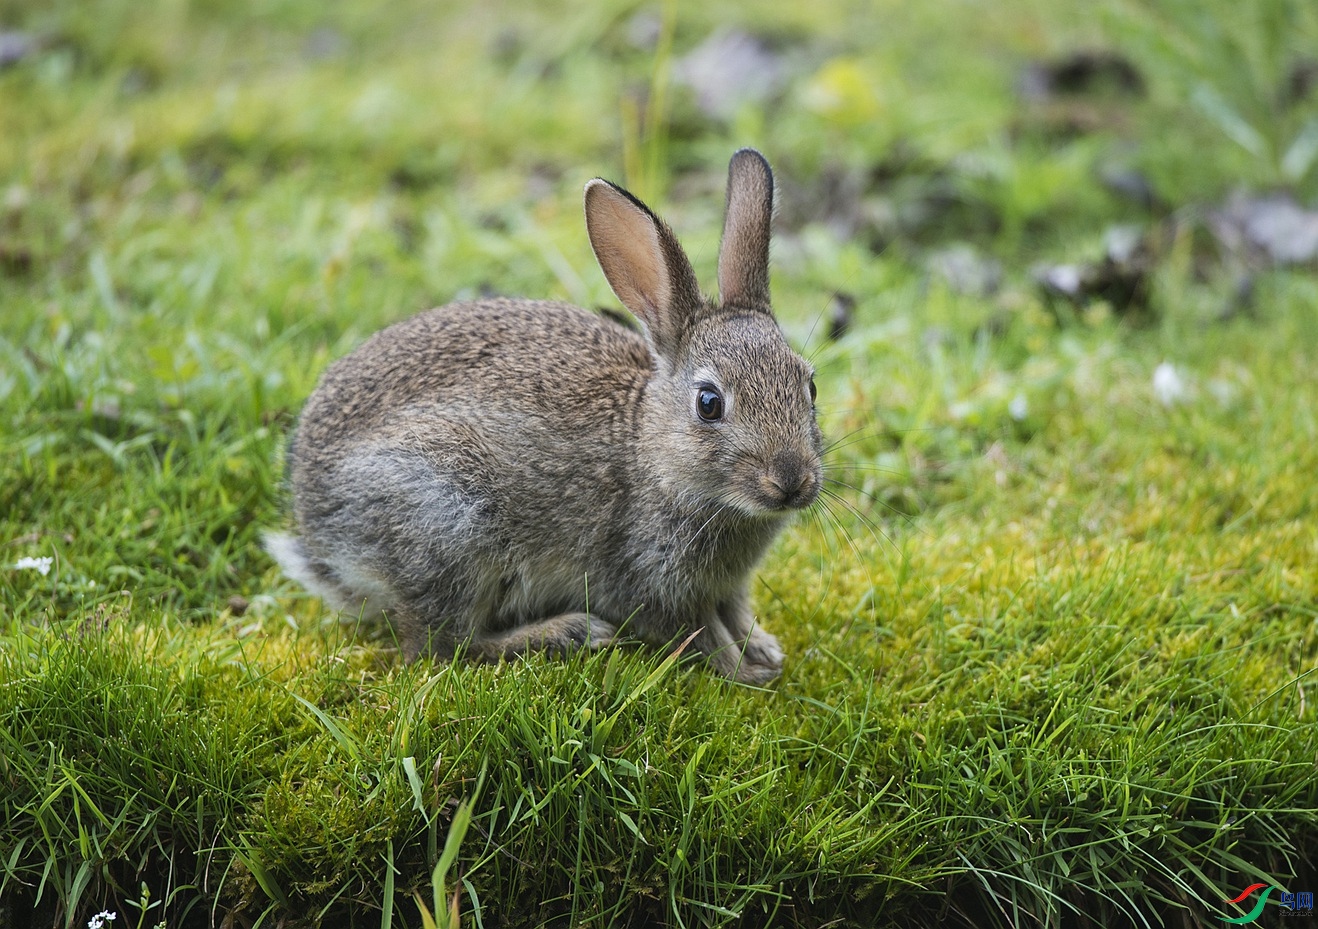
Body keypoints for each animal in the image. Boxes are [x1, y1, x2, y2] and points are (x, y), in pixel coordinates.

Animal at [264, 146, 822, 679]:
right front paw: (744, 672)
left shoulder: (728, 586)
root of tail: (317, 528)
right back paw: (569, 632)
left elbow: (737, 613)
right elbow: (699, 633)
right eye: (709, 403)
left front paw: (765, 650)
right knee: (442, 648)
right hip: (448, 521)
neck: (649, 452)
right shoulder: (648, 579)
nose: (791, 481)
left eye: (810, 385)